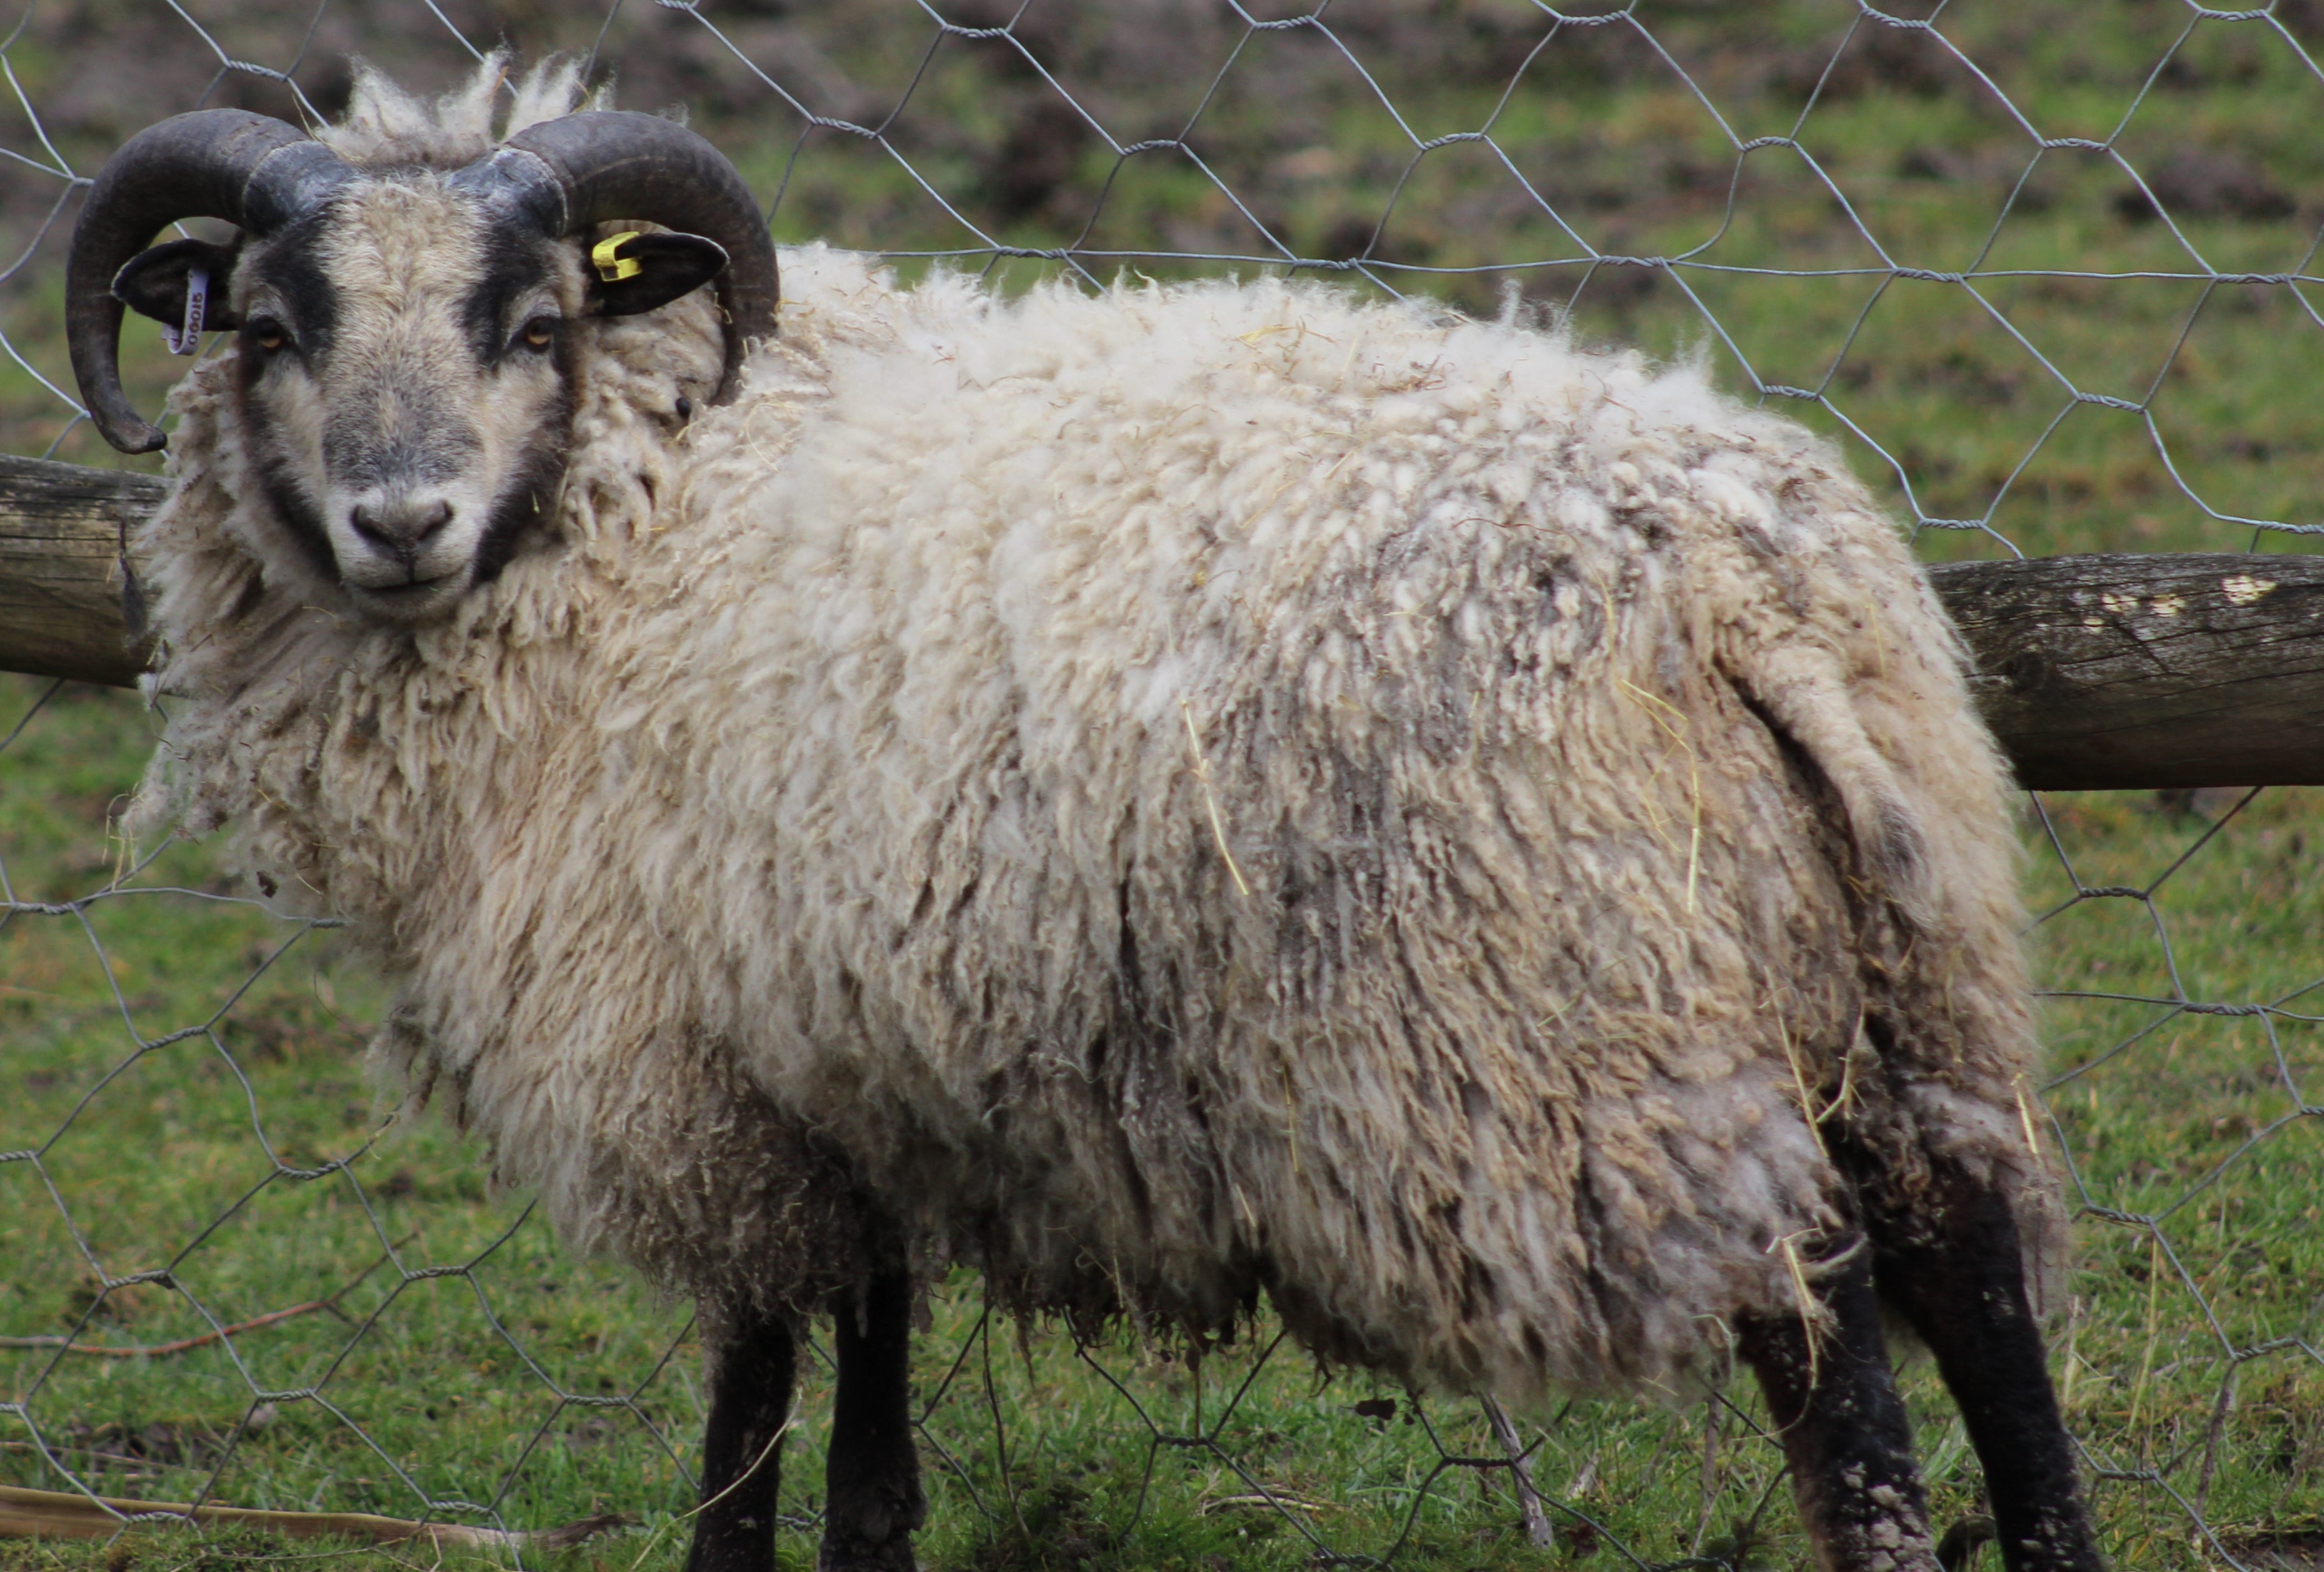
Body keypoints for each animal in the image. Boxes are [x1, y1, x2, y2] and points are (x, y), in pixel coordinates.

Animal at [68, 58, 2110, 1572]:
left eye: (536, 319)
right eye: (269, 326)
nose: (396, 518)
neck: (639, 501)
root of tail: (1741, 579)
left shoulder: (693, 1068)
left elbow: (748, 1404)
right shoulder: (852, 1063)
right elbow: (871, 1407)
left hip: (1599, 1027)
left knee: (1827, 1327)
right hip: (1903, 974)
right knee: (1975, 1282)